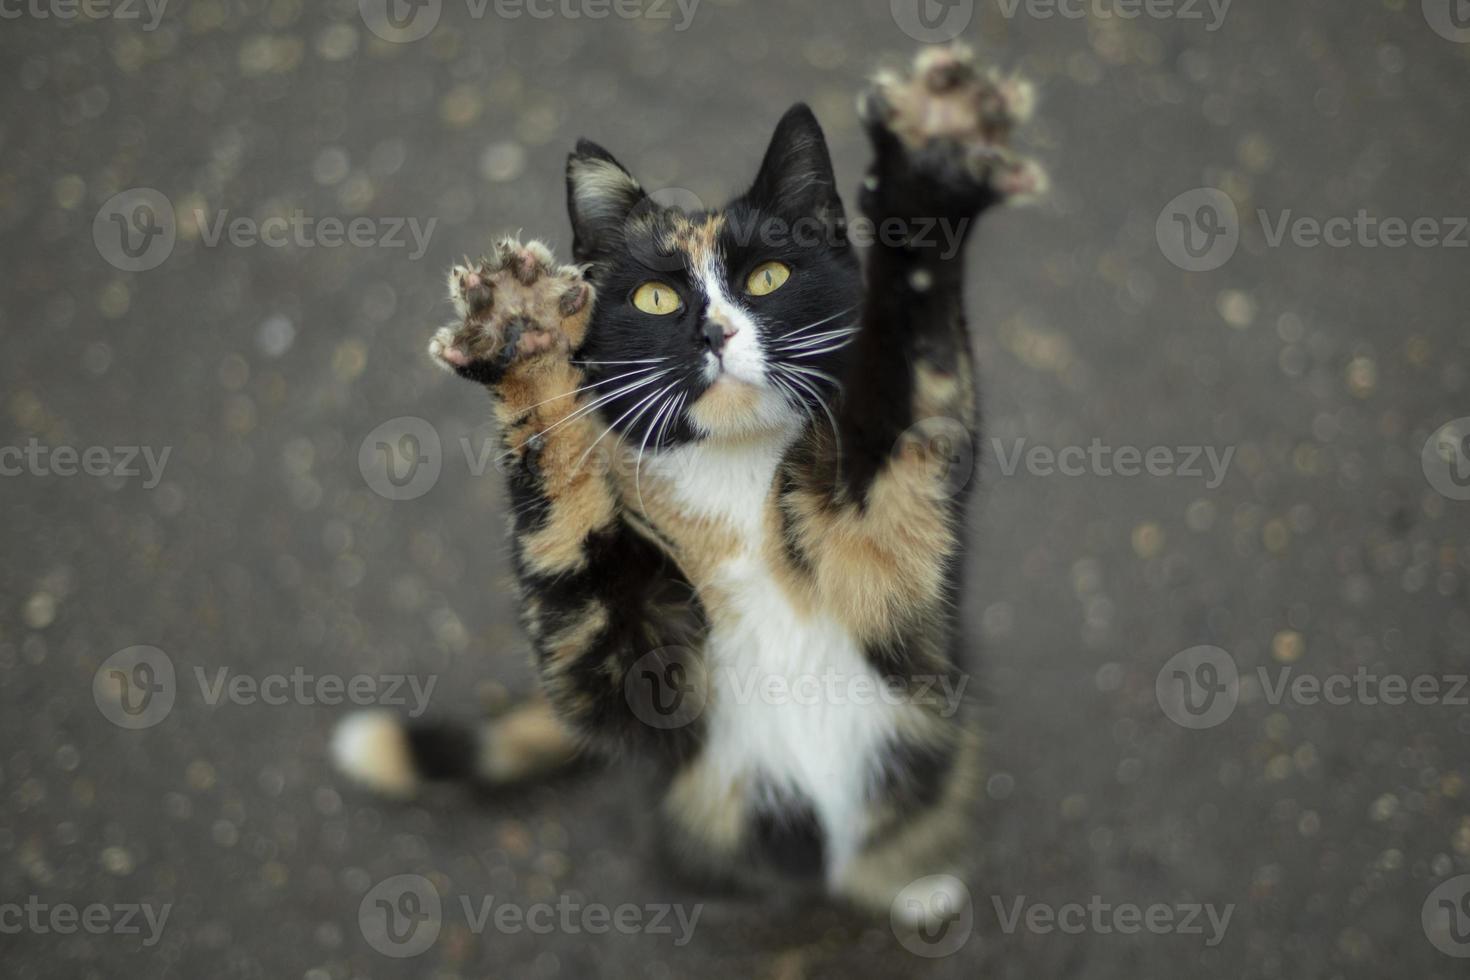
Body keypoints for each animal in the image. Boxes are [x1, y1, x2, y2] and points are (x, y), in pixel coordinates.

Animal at [333, 44, 1046, 922]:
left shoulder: (895, 518)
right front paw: (521, 335)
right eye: (655, 296)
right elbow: (568, 539)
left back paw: (917, 885)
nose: (715, 330)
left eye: (769, 276)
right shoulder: (618, 672)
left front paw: (930, 162)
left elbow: (911, 377)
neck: (735, 477)